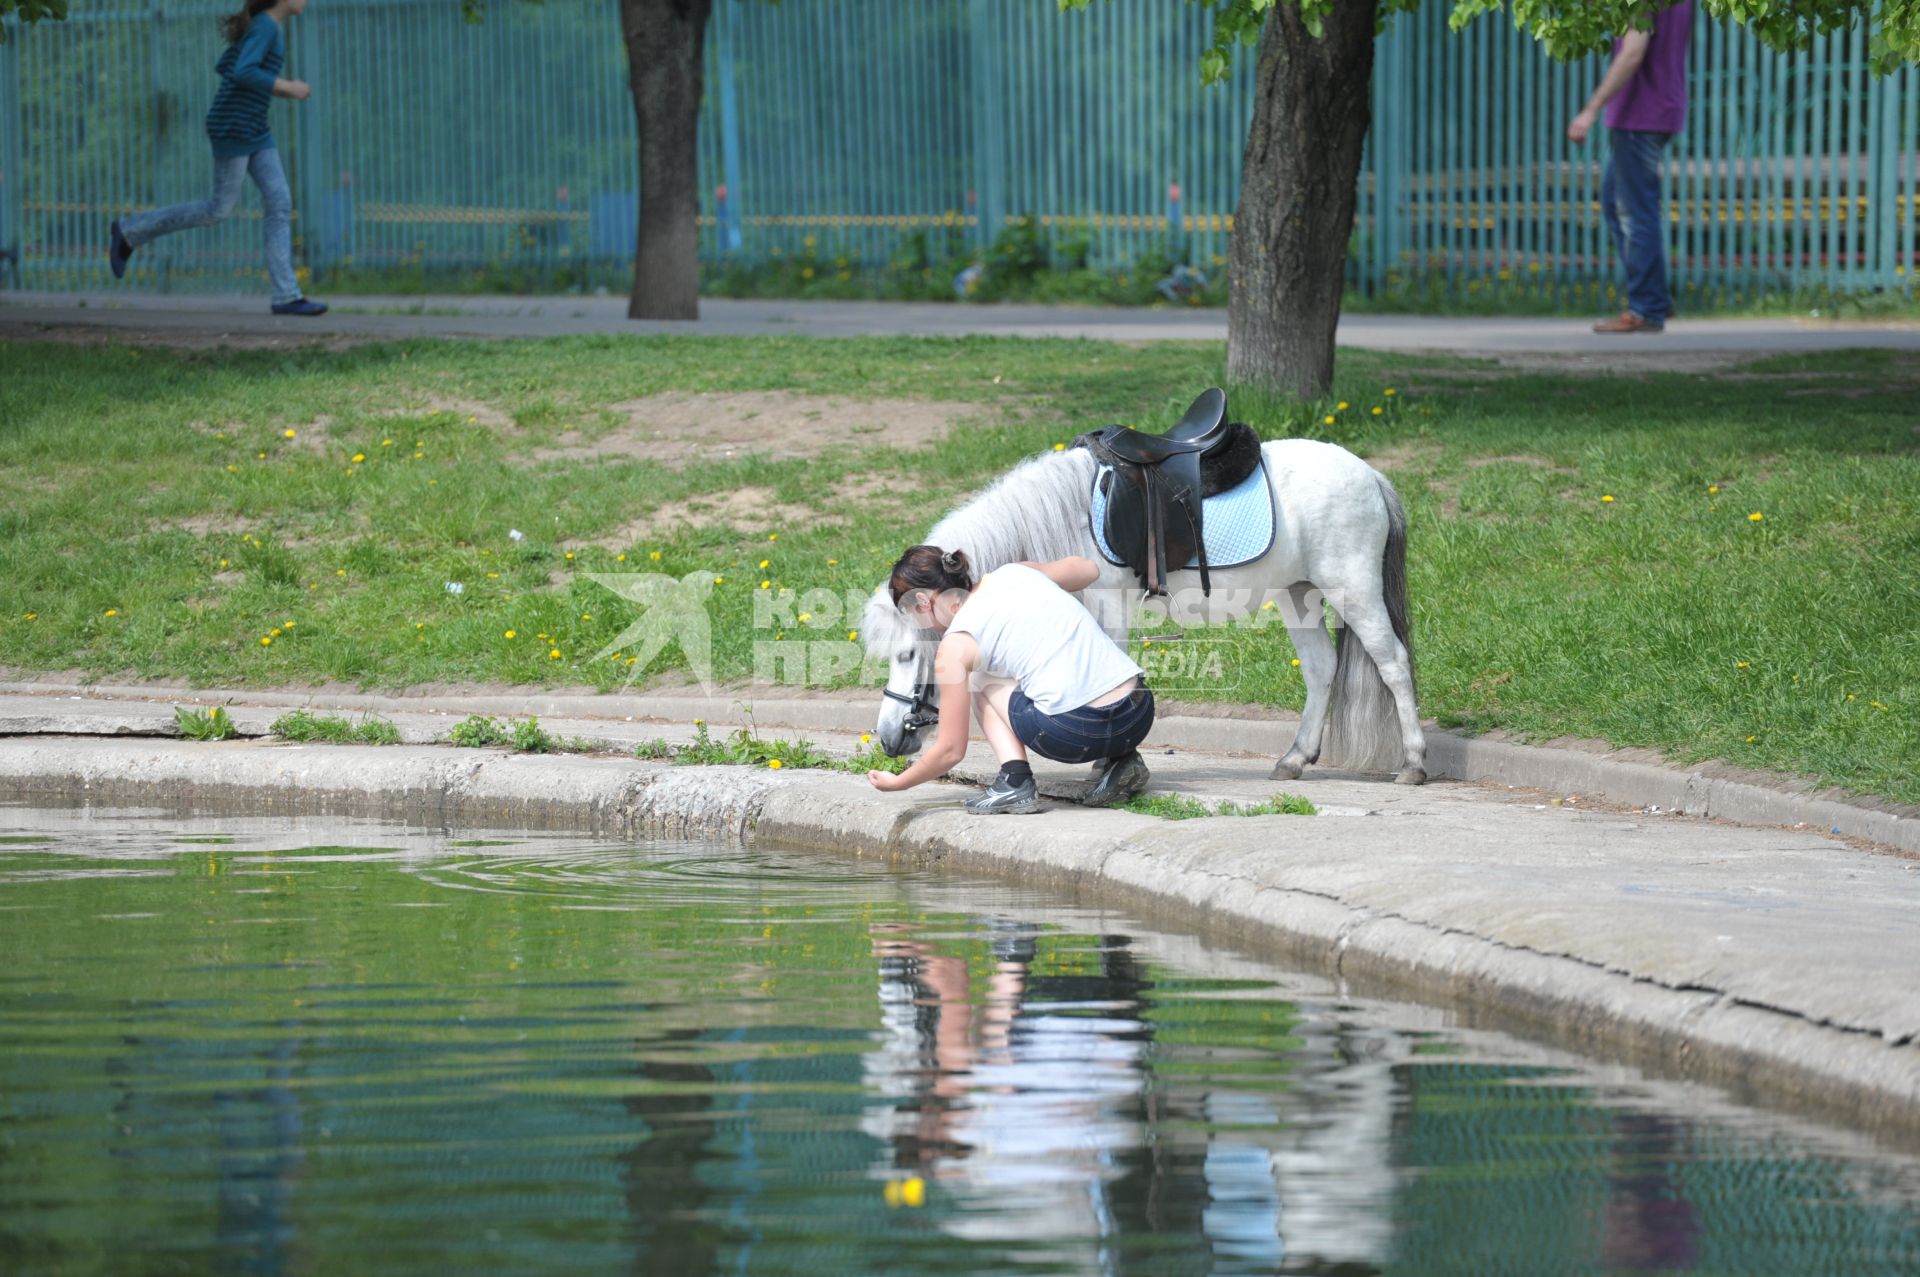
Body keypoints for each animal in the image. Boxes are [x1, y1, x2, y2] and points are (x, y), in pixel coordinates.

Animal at [860, 433, 1428, 783]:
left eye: (908, 655)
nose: (887, 738)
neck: (1070, 514)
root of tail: (1371, 476)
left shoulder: (1109, 606)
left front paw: (1113, 763)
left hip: (1352, 588)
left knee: (1394, 665)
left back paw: (1414, 763)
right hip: (1300, 594)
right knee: (1320, 669)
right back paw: (1295, 758)